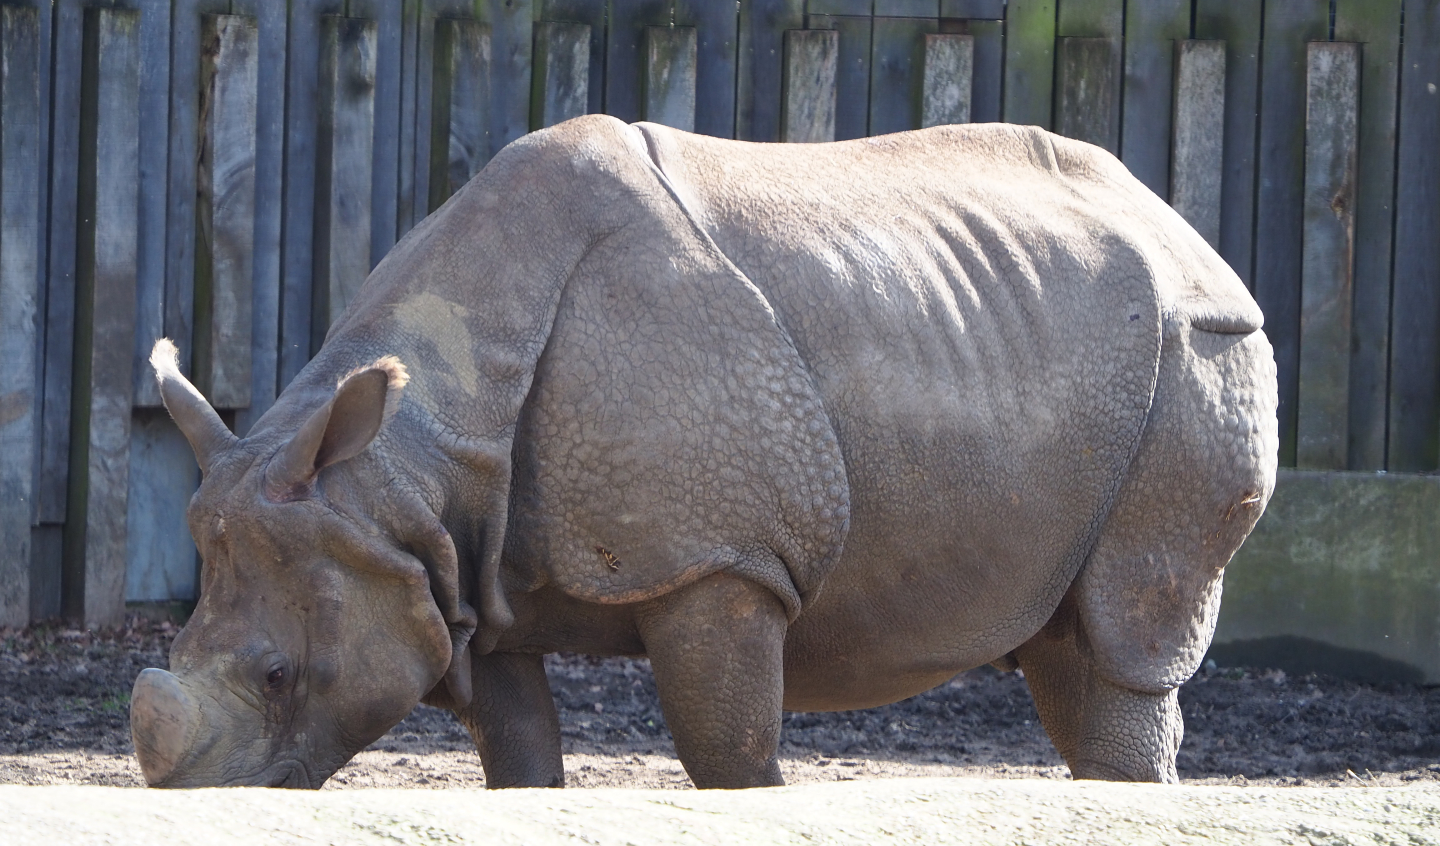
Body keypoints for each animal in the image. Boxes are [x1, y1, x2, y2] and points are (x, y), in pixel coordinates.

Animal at [130, 115, 1277, 790]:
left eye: (278, 675)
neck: (398, 467)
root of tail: (1183, 228)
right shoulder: (457, 564)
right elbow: (519, 755)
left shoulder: (719, 563)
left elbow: (730, 754)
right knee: (1072, 644)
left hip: (1204, 352)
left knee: (1127, 633)